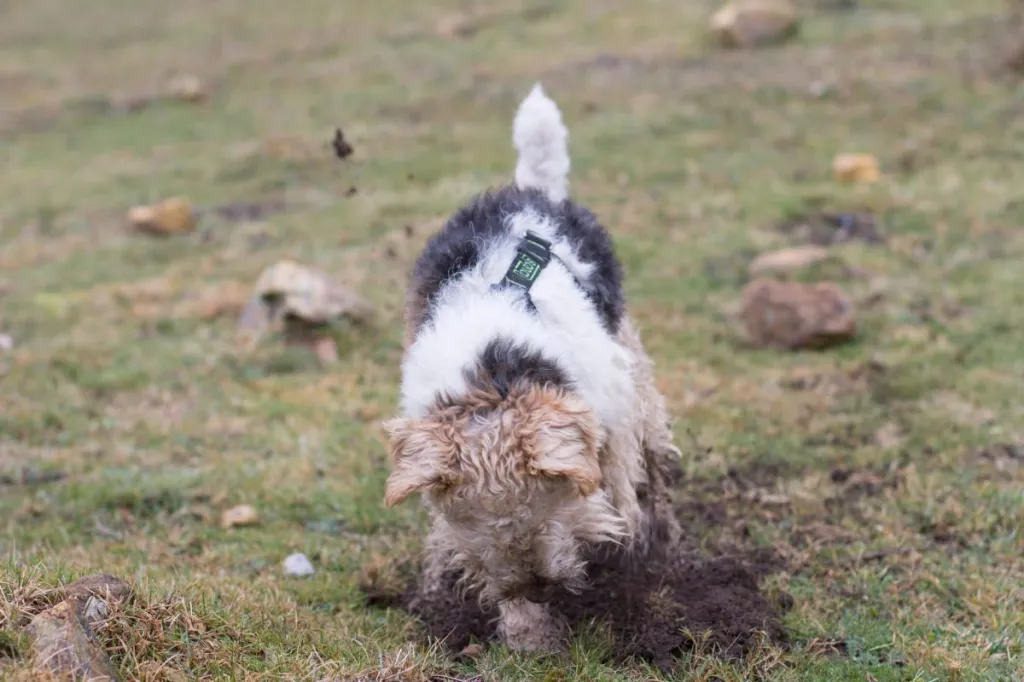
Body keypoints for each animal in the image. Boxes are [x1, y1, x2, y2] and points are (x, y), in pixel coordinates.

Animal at [385, 83, 679, 647]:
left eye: (546, 505)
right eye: (475, 524)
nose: (540, 589)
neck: (492, 373)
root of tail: (531, 193)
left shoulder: (608, 413)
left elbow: (618, 483)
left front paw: (627, 552)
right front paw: (529, 636)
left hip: (631, 360)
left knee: (653, 451)